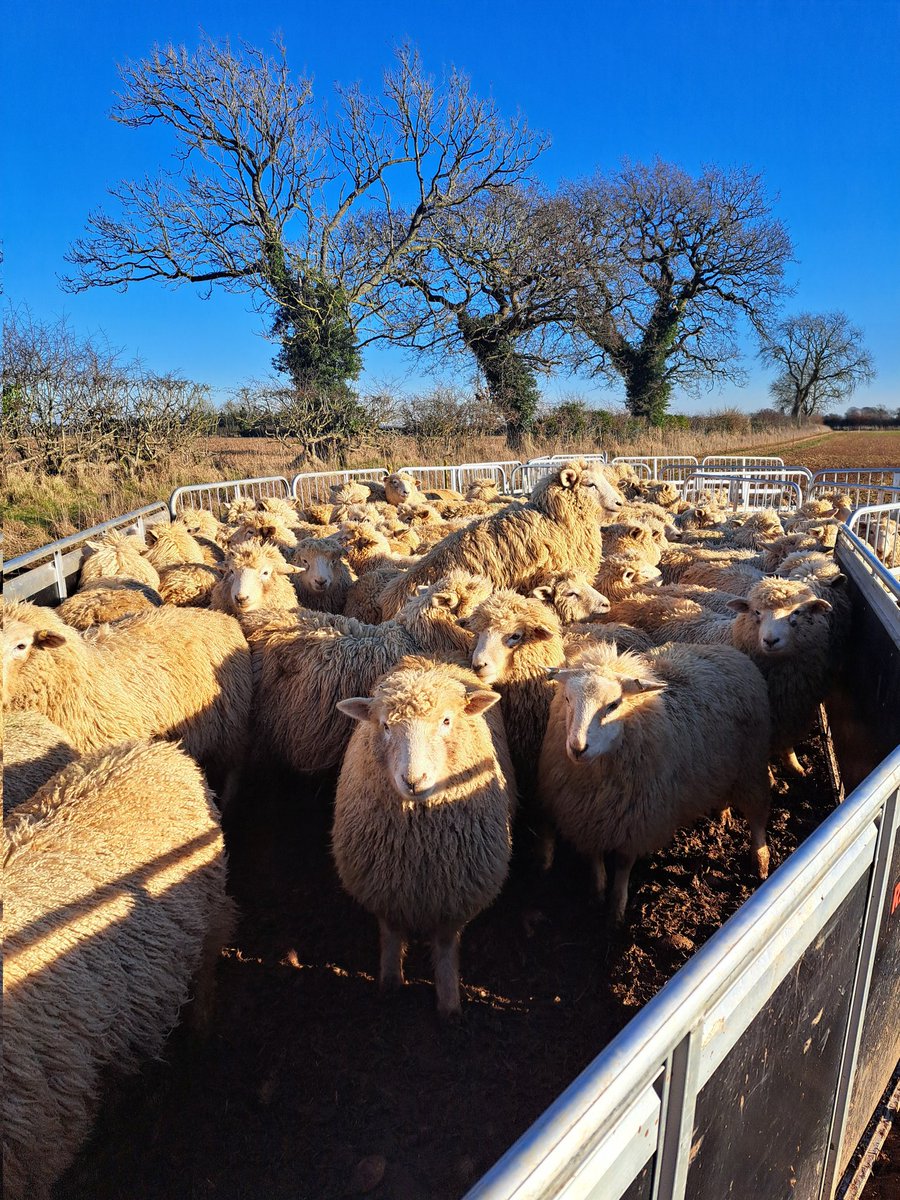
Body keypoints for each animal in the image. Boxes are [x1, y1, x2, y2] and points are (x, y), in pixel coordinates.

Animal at [333, 657, 513, 1015]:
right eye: (385, 726)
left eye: (446, 721)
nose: (414, 780)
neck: (419, 849)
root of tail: (430, 658)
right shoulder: (385, 890)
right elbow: (391, 935)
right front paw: (389, 984)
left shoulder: (452, 898)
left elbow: (444, 948)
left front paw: (449, 1004)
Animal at [538, 641, 771, 923]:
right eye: (568, 699)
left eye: (614, 704)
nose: (577, 748)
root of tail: (727, 650)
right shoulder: (585, 816)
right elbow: (595, 859)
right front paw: (598, 893)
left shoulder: (636, 821)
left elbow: (623, 865)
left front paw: (616, 910)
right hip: (723, 768)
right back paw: (723, 813)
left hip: (751, 765)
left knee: (757, 815)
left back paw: (760, 861)